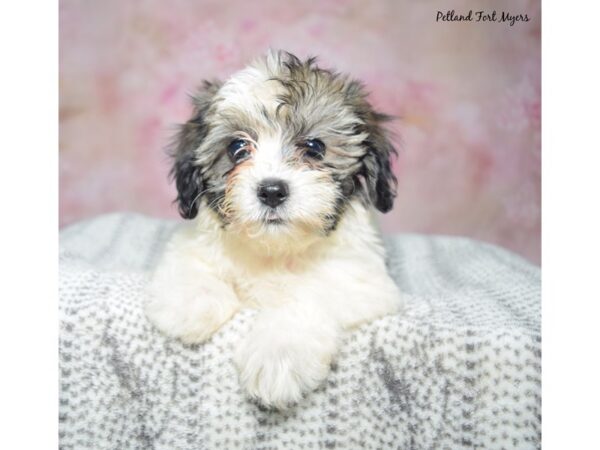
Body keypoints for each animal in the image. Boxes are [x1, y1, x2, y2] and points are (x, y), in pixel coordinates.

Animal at [146, 51, 404, 410]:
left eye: (314, 147)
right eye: (237, 147)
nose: (271, 191)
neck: (276, 248)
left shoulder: (362, 280)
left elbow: (307, 295)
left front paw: (277, 354)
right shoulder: (192, 242)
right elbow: (192, 262)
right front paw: (192, 302)